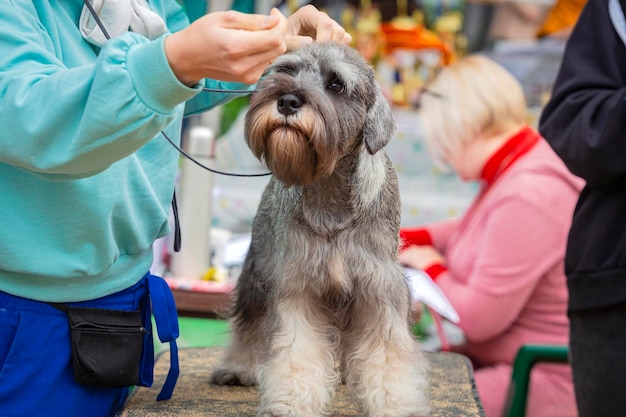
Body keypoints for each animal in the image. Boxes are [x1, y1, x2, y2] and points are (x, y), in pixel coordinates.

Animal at [210, 42, 428, 416]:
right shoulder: (298, 287)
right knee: (249, 324)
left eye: (336, 84)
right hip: (255, 273)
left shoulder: (378, 291)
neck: (330, 194)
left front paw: (394, 403)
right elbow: (296, 352)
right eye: (286, 70)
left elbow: (386, 357)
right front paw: (291, 403)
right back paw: (239, 367)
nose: (287, 101)